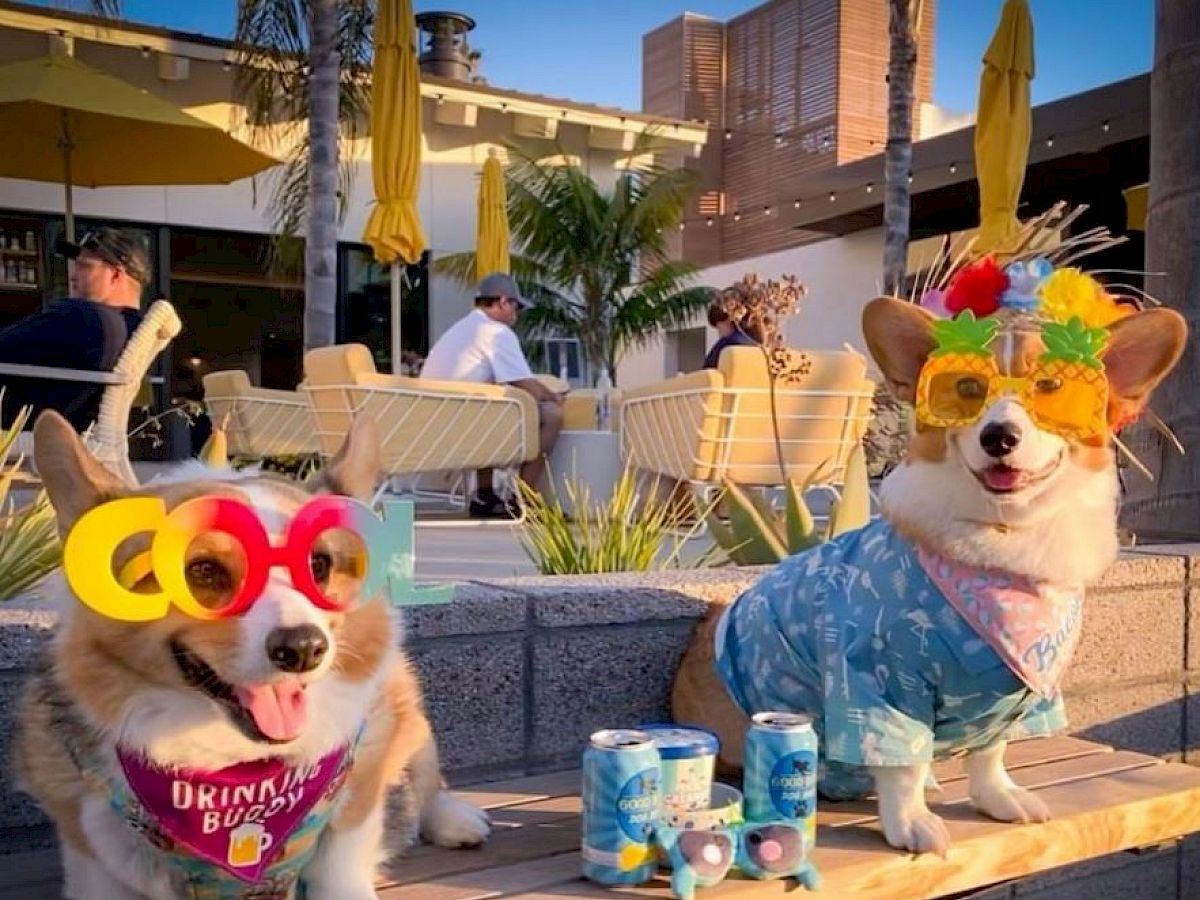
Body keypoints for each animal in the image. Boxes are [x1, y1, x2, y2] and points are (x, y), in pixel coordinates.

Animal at [672, 297, 1185, 859]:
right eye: (966, 388)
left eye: (1052, 386)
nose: (998, 437)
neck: (1003, 536)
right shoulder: (880, 687)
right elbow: (903, 767)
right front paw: (910, 821)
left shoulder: (1015, 697)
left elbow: (990, 754)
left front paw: (999, 798)